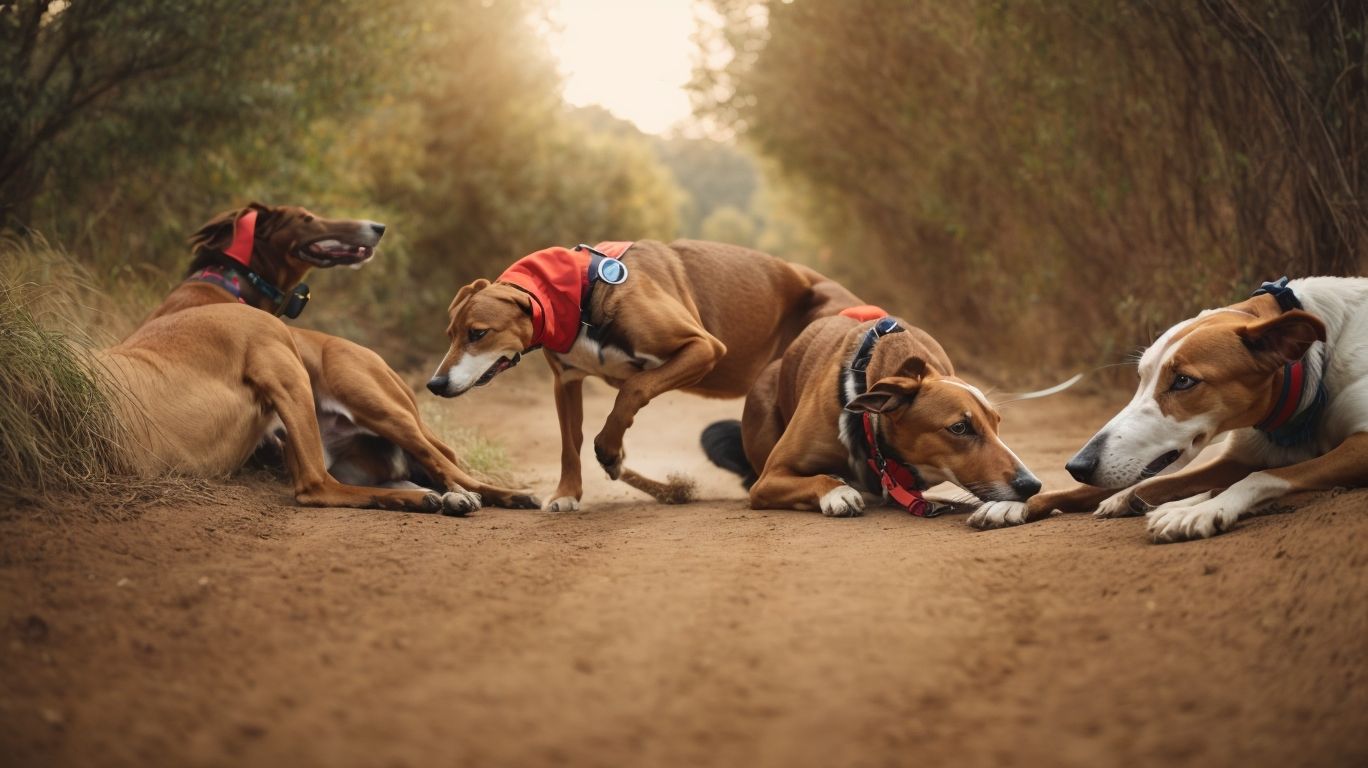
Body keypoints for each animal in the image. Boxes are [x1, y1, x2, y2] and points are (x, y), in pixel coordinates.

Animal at [102, 203, 533, 514]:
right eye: (307, 218)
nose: (377, 227)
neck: (223, 286)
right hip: (339, 411)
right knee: (330, 482)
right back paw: (442, 497)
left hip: (382, 409)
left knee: (446, 464)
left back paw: (486, 494)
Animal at [700, 305, 1039, 514]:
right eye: (959, 427)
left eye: (996, 422)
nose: (1032, 484)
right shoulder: (770, 478)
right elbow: (820, 480)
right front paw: (837, 491)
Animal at [974, 275, 1368, 539]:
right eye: (1141, 376)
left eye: (1183, 381)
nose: (1077, 466)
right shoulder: (1237, 457)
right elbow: (1144, 481)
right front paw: (1016, 503)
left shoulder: (1361, 447)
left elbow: (1262, 476)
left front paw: (1203, 510)